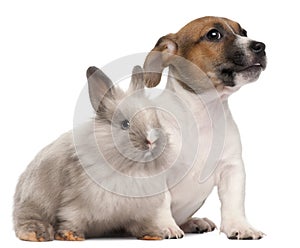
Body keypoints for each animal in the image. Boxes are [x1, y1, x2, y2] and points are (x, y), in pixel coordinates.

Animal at [12, 65, 184, 241]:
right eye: (125, 124)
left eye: (155, 118)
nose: (152, 141)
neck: (132, 169)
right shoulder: (75, 204)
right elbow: (71, 219)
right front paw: (71, 235)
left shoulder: (139, 212)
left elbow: (142, 224)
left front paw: (153, 235)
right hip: (33, 203)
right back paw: (37, 234)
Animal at [144, 16, 266, 240]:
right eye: (213, 34)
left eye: (243, 32)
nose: (261, 46)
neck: (204, 114)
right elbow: (162, 202)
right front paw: (165, 226)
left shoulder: (232, 169)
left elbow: (234, 202)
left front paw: (240, 226)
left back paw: (194, 222)